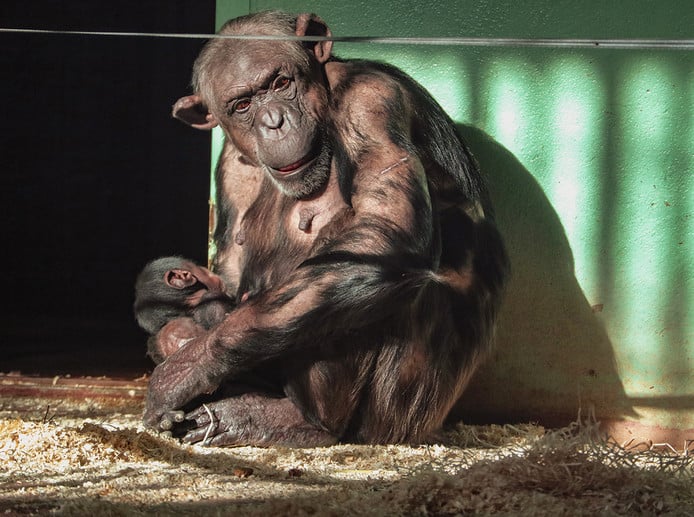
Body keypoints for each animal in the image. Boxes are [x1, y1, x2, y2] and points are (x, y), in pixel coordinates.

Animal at [140, 8, 512, 446]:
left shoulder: (371, 102)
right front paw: (174, 337)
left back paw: (295, 422)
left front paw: (184, 369)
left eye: (281, 83)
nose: (273, 121)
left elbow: (383, 232)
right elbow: (228, 270)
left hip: (396, 418)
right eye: (242, 104)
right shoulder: (232, 161)